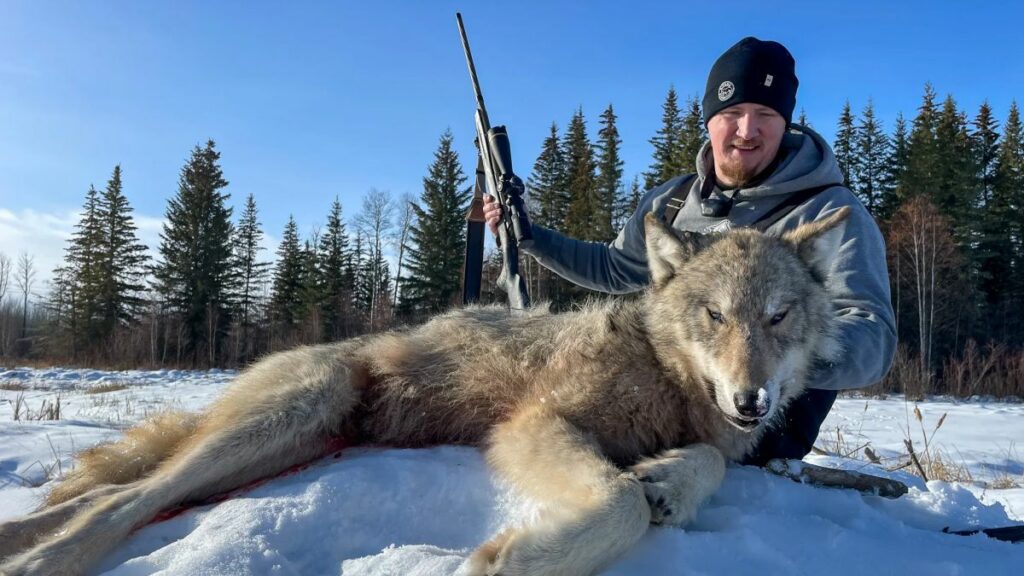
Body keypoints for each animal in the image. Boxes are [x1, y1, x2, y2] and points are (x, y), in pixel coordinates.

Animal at [0, 209, 848, 576]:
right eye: (715, 315)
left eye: (778, 317)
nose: (753, 401)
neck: (667, 378)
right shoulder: (532, 424)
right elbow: (619, 503)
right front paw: (518, 559)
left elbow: (702, 463)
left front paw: (670, 477)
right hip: (290, 416)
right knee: (117, 502)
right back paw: (38, 562)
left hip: (284, 452)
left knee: (114, 496)